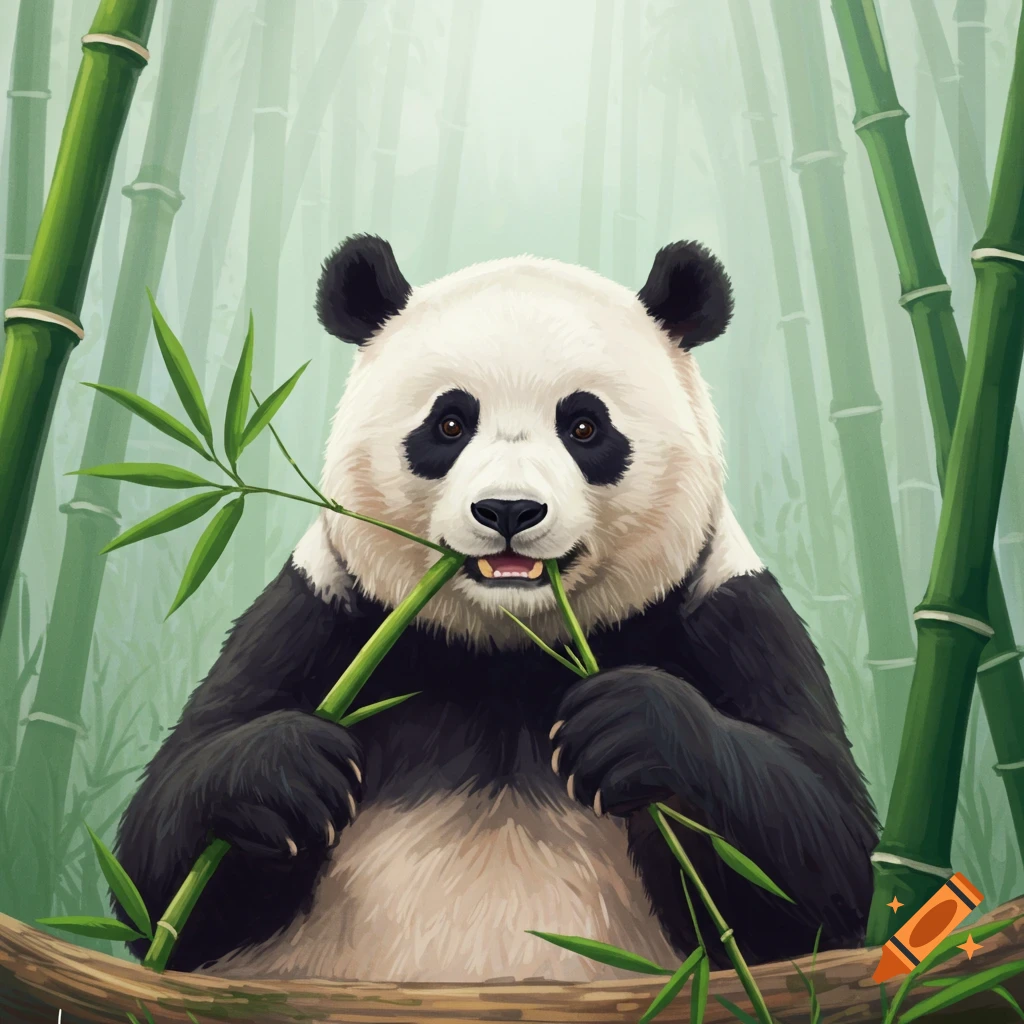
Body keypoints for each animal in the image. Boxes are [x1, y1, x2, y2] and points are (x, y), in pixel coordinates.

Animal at [115, 235, 877, 982]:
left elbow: (816, 865)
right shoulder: (322, 613)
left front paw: (629, 727)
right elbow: (161, 879)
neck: (506, 654)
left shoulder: (726, 612)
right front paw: (291, 772)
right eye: (450, 422)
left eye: (584, 426)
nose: (509, 510)